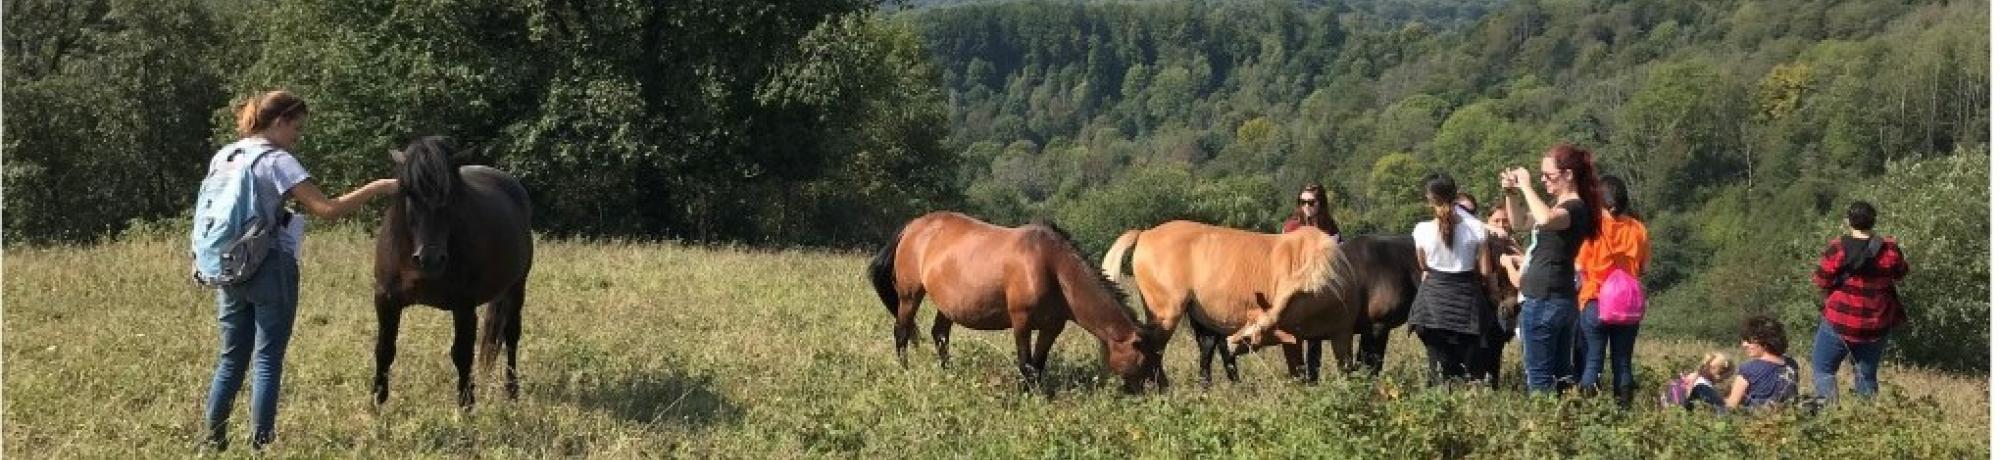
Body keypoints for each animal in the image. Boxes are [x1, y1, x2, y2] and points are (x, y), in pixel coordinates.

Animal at [374, 137, 536, 410]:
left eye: (450, 197)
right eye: (409, 194)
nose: (429, 260)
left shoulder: (464, 306)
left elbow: (462, 353)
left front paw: (466, 404)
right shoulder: (386, 300)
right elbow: (384, 349)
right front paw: (377, 401)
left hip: (516, 287)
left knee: (511, 338)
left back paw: (512, 392)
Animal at [864, 210, 1168, 394]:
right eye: (1145, 358)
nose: (1162, 389)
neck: (1051, 268)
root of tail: (912, 227)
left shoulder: (1052, 327)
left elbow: (1038, 364)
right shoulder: (1020, 321)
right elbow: (1026, 365)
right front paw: (1029, 397)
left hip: (947, 305)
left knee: (939, 334)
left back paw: (948, 374)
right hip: (909, 295)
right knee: (902, 332)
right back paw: (905, 372)